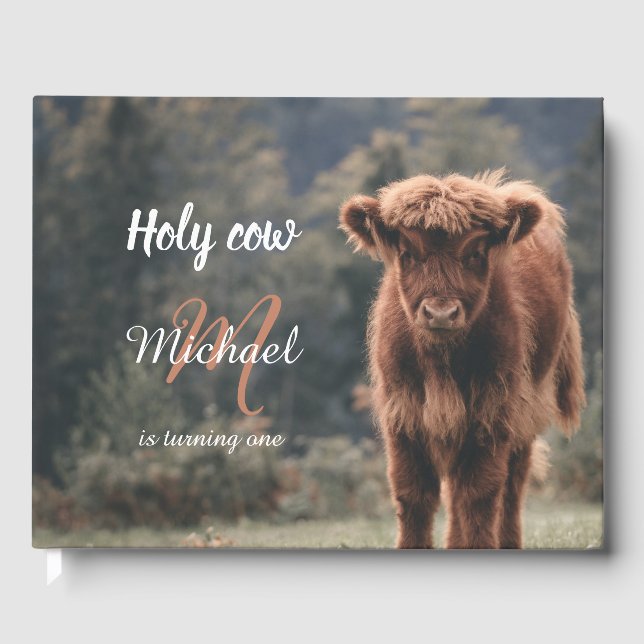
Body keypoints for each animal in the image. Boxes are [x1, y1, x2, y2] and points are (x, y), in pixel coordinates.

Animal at [339, 169, 586, 549]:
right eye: (407, 252)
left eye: (476, 252)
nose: (441, 313)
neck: (442, 362)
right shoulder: (403, 412)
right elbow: (413, 493)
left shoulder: (493, 409)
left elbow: (480, 494)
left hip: (528, 406)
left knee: (512, 483)